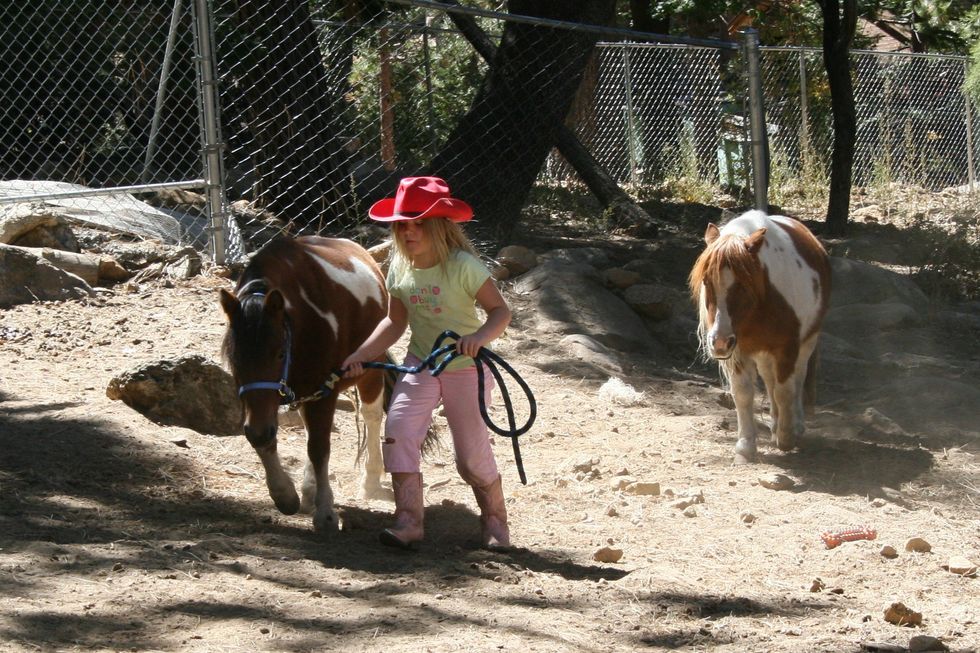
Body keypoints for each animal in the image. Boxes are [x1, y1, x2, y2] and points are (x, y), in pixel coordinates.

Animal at [219, 236, 392, 533]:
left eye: (279, 353)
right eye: (234, 357)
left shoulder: (324, 391)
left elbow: (319, 448)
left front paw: (325, 513)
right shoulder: (260, 398)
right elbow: (264, 439)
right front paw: (285, 495)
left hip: (370, 371)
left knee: (370, 416)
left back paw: (369, 480)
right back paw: (310, 489)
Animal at [689, 210, 831, 464]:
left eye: (744, 284)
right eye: (706, 281)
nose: (720, 342)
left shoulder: (787, 348)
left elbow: (785, 391)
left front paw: (786, 437)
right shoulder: (738, 352)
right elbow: (744, 394)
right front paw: (746, 447)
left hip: (807, 343)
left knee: (797, 378)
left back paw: (795, 425)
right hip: (763, 353)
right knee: (769, 380)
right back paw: (775, 424)